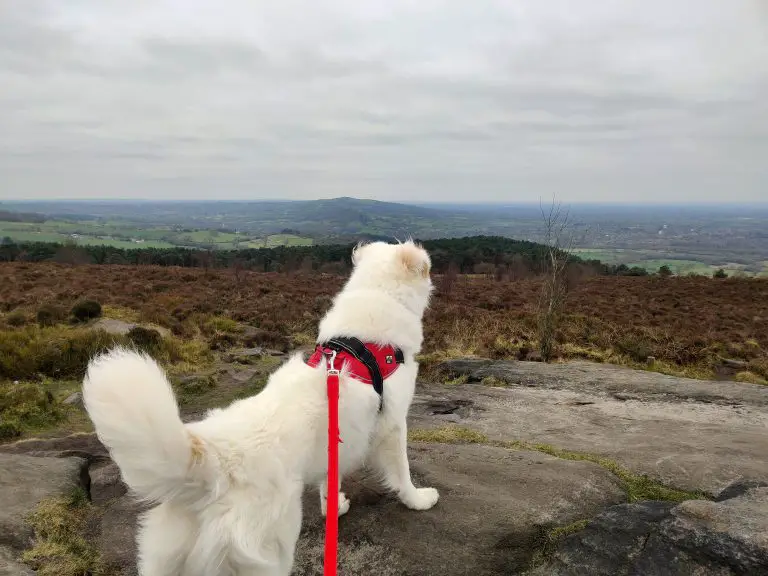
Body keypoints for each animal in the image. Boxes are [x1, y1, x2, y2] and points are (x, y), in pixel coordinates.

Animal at [82, 240, 438, 576]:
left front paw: (334, 507)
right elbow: (402, 473)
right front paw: (418, 500)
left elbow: (329, 482)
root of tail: (212, 462)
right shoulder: (393, 425)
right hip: (270, 551)